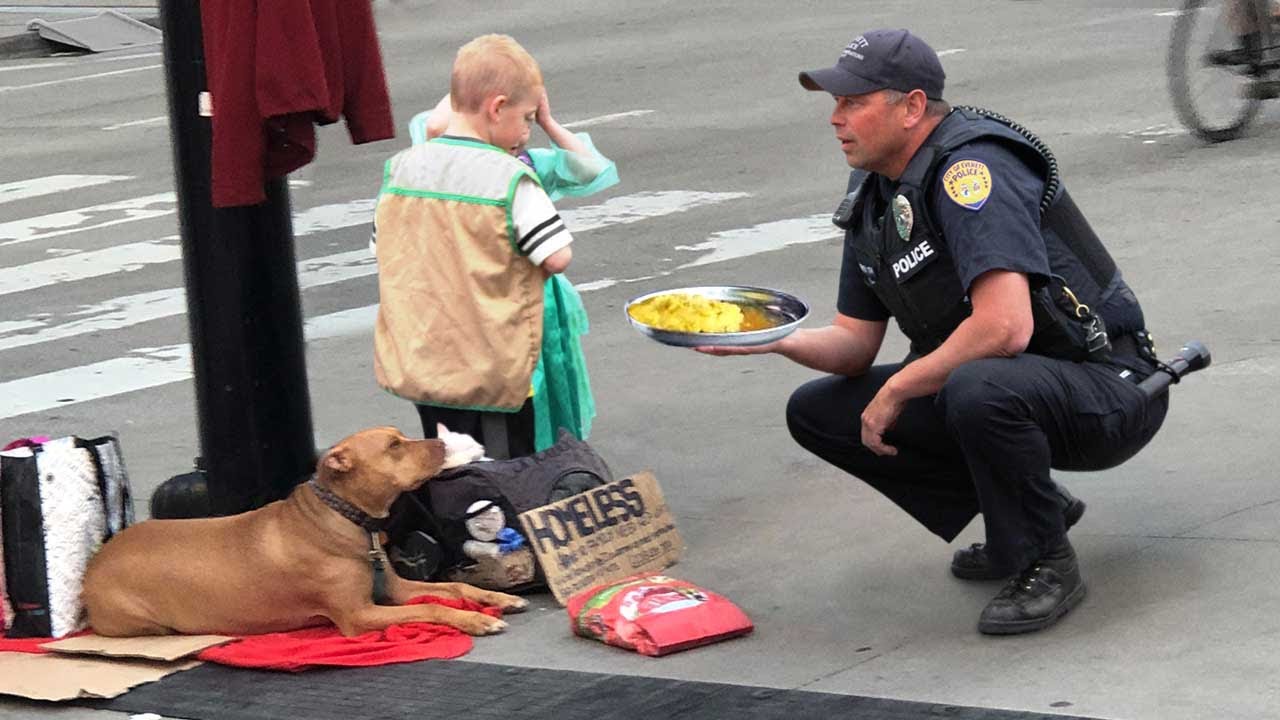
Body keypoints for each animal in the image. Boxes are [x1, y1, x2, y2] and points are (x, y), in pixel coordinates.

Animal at [82, 425, 527, 632]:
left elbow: (455, 588)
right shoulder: (360, 614)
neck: (346, 518)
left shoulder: (396, 589)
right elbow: (434, 607)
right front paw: (478, 621)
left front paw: (496, 599)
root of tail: (96, 561)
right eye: (393, 446)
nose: (444, 444)